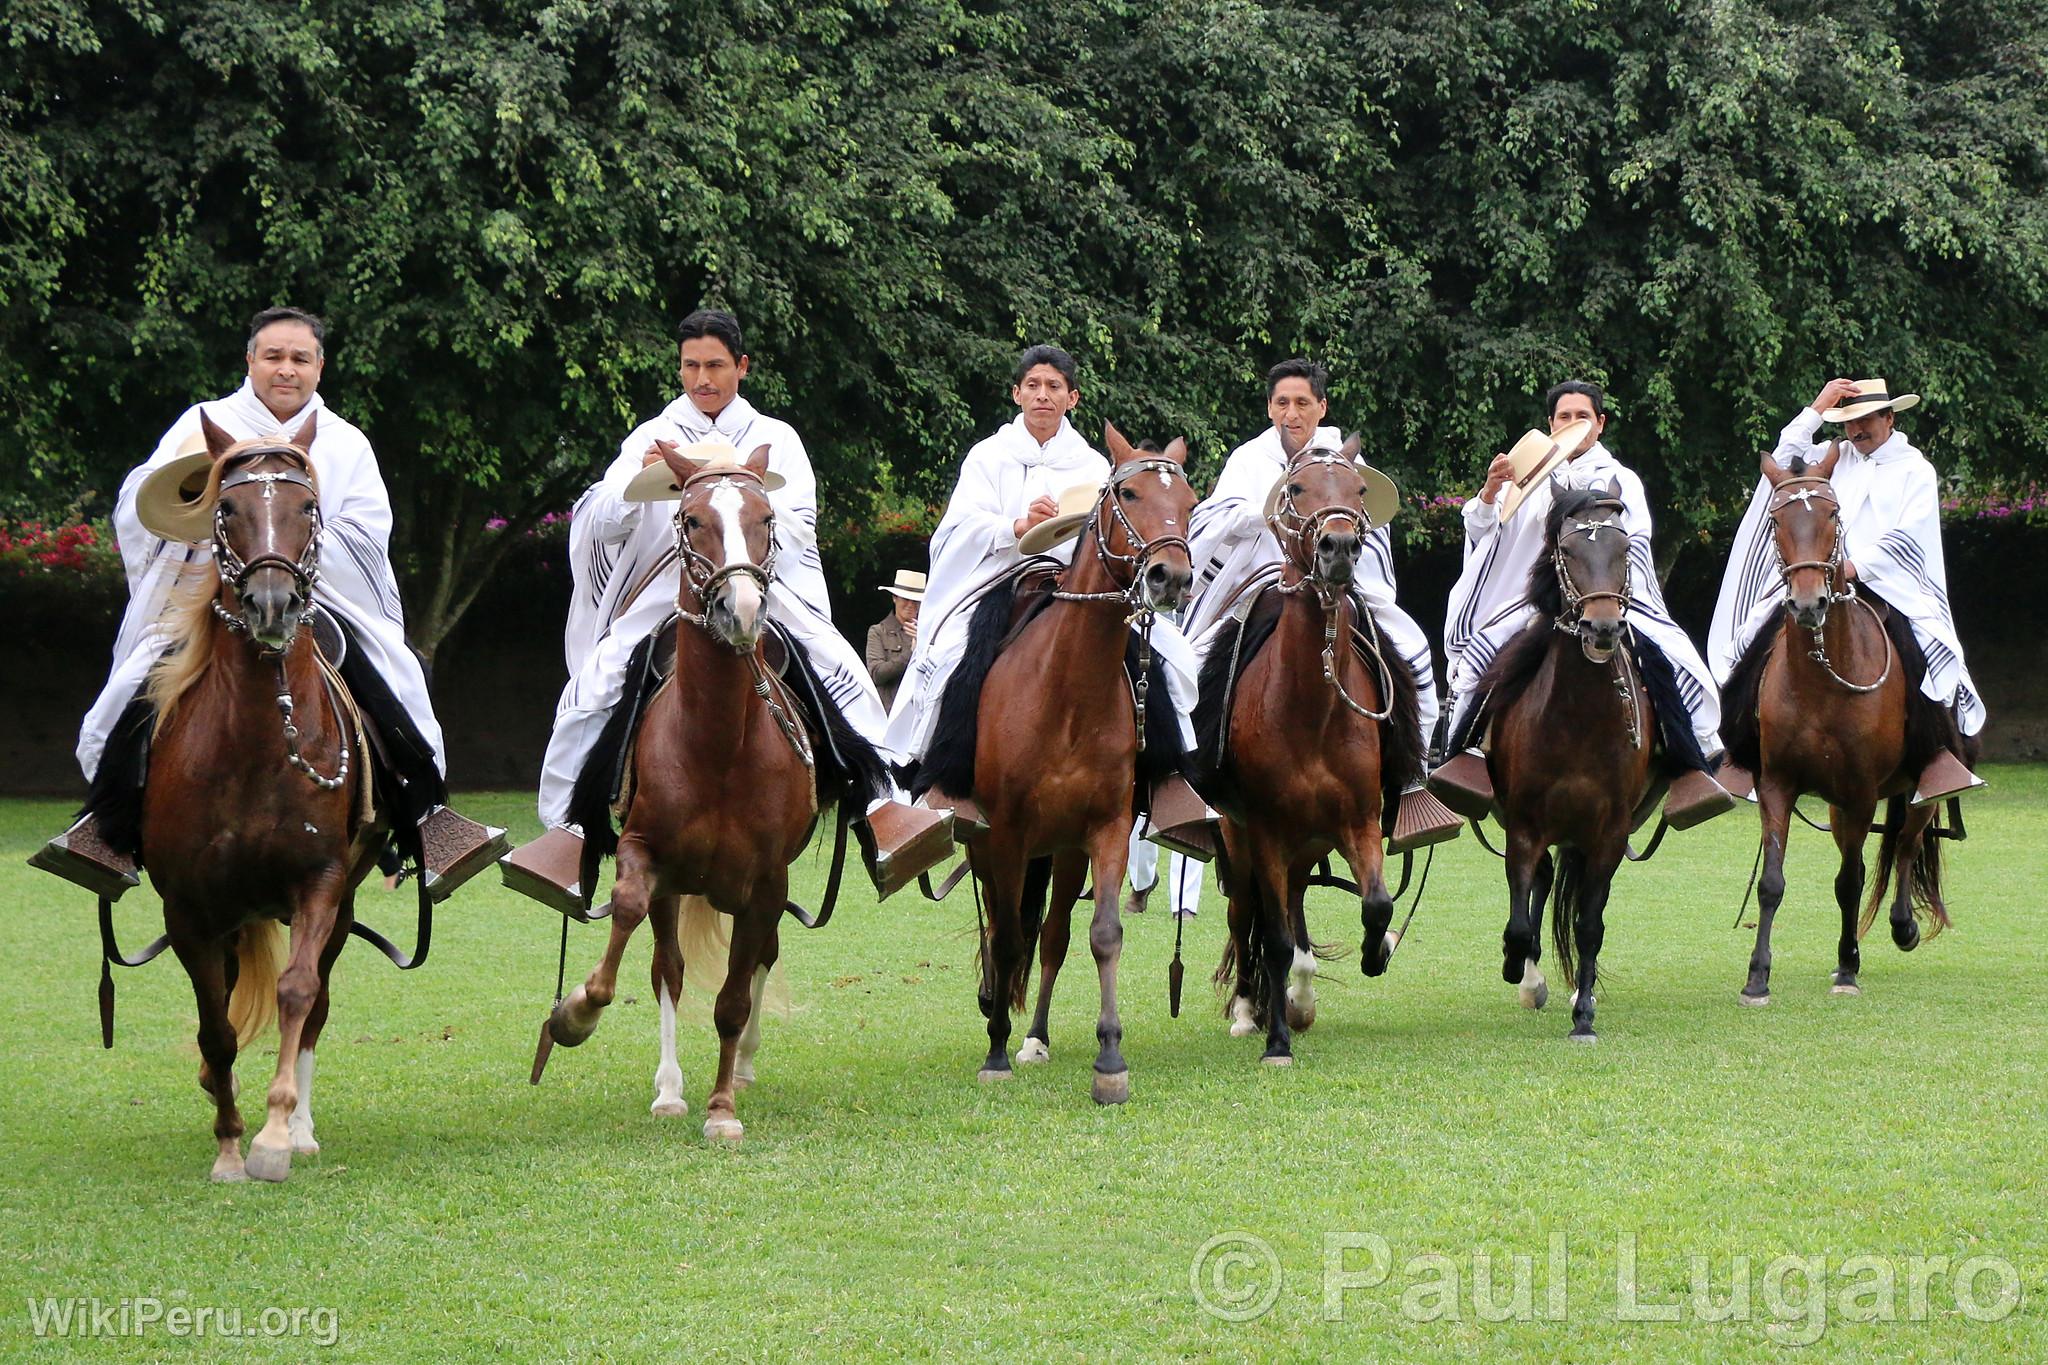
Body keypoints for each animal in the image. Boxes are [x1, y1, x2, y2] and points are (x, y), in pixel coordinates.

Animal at [540, 446, 884, 1146]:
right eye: (692, 519)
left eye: (766, 517)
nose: (742, 609)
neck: (718, 747)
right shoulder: (647, 855)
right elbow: (630, 921)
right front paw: (577, 1013)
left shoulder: (768, 882)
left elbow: (733, 997)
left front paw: (722, 1107)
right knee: (667, 968)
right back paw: (670, 1090)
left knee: (756, 964)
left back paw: (742, 1068)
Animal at [933, 427, 1196, 1113]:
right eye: (1128, 493)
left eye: (1188, 500)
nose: (1171, 575)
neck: (1067, 693)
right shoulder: (1004, 835)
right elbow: (1005, 938)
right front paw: (995, 1053)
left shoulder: (1104, 830)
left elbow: (1100, 935)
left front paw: (1109, 1061)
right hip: (996, 848)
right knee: (1003, 932)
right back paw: (999, 1018)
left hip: (1063, 851)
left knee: (1049, 936)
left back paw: (1036, 1036)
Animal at [1196, 437, 1425, 1064]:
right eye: (1297, 489)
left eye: (1358, 489)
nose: (1339, 546)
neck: (1311, 712)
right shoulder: (1266, 831)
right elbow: (1271, 939)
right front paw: (1275, 1040)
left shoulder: (1359, 821)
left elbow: (1376, 905)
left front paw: (1376, 951)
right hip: (1241, 841)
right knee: (1245, 914)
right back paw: (1251, 1011)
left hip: (1306, 842)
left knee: (1296, 903)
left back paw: (1299, 996)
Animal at [1474, 485, 1646, 1039]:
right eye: (1566, 552)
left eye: (1624, 549)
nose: (1602, 628)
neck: (1578, 720)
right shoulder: (1523, 824)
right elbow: (1518, 921)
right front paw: (1518, 966)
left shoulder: (1610, 833)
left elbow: (1590, 925)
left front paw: (1584, 1015)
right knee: (1543, 880)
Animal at [1720, 448, 1957, 1002]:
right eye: (1775, 520)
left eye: (1832, 514)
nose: (1808, 604)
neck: (1821, 685)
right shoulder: (1779, 785)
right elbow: (1772, 883)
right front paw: (1757, 976)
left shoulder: (1860, 791)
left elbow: (1850, 881)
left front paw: (1848, 967)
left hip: (1918, 790)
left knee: (1906, 844)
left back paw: (1901, 927)